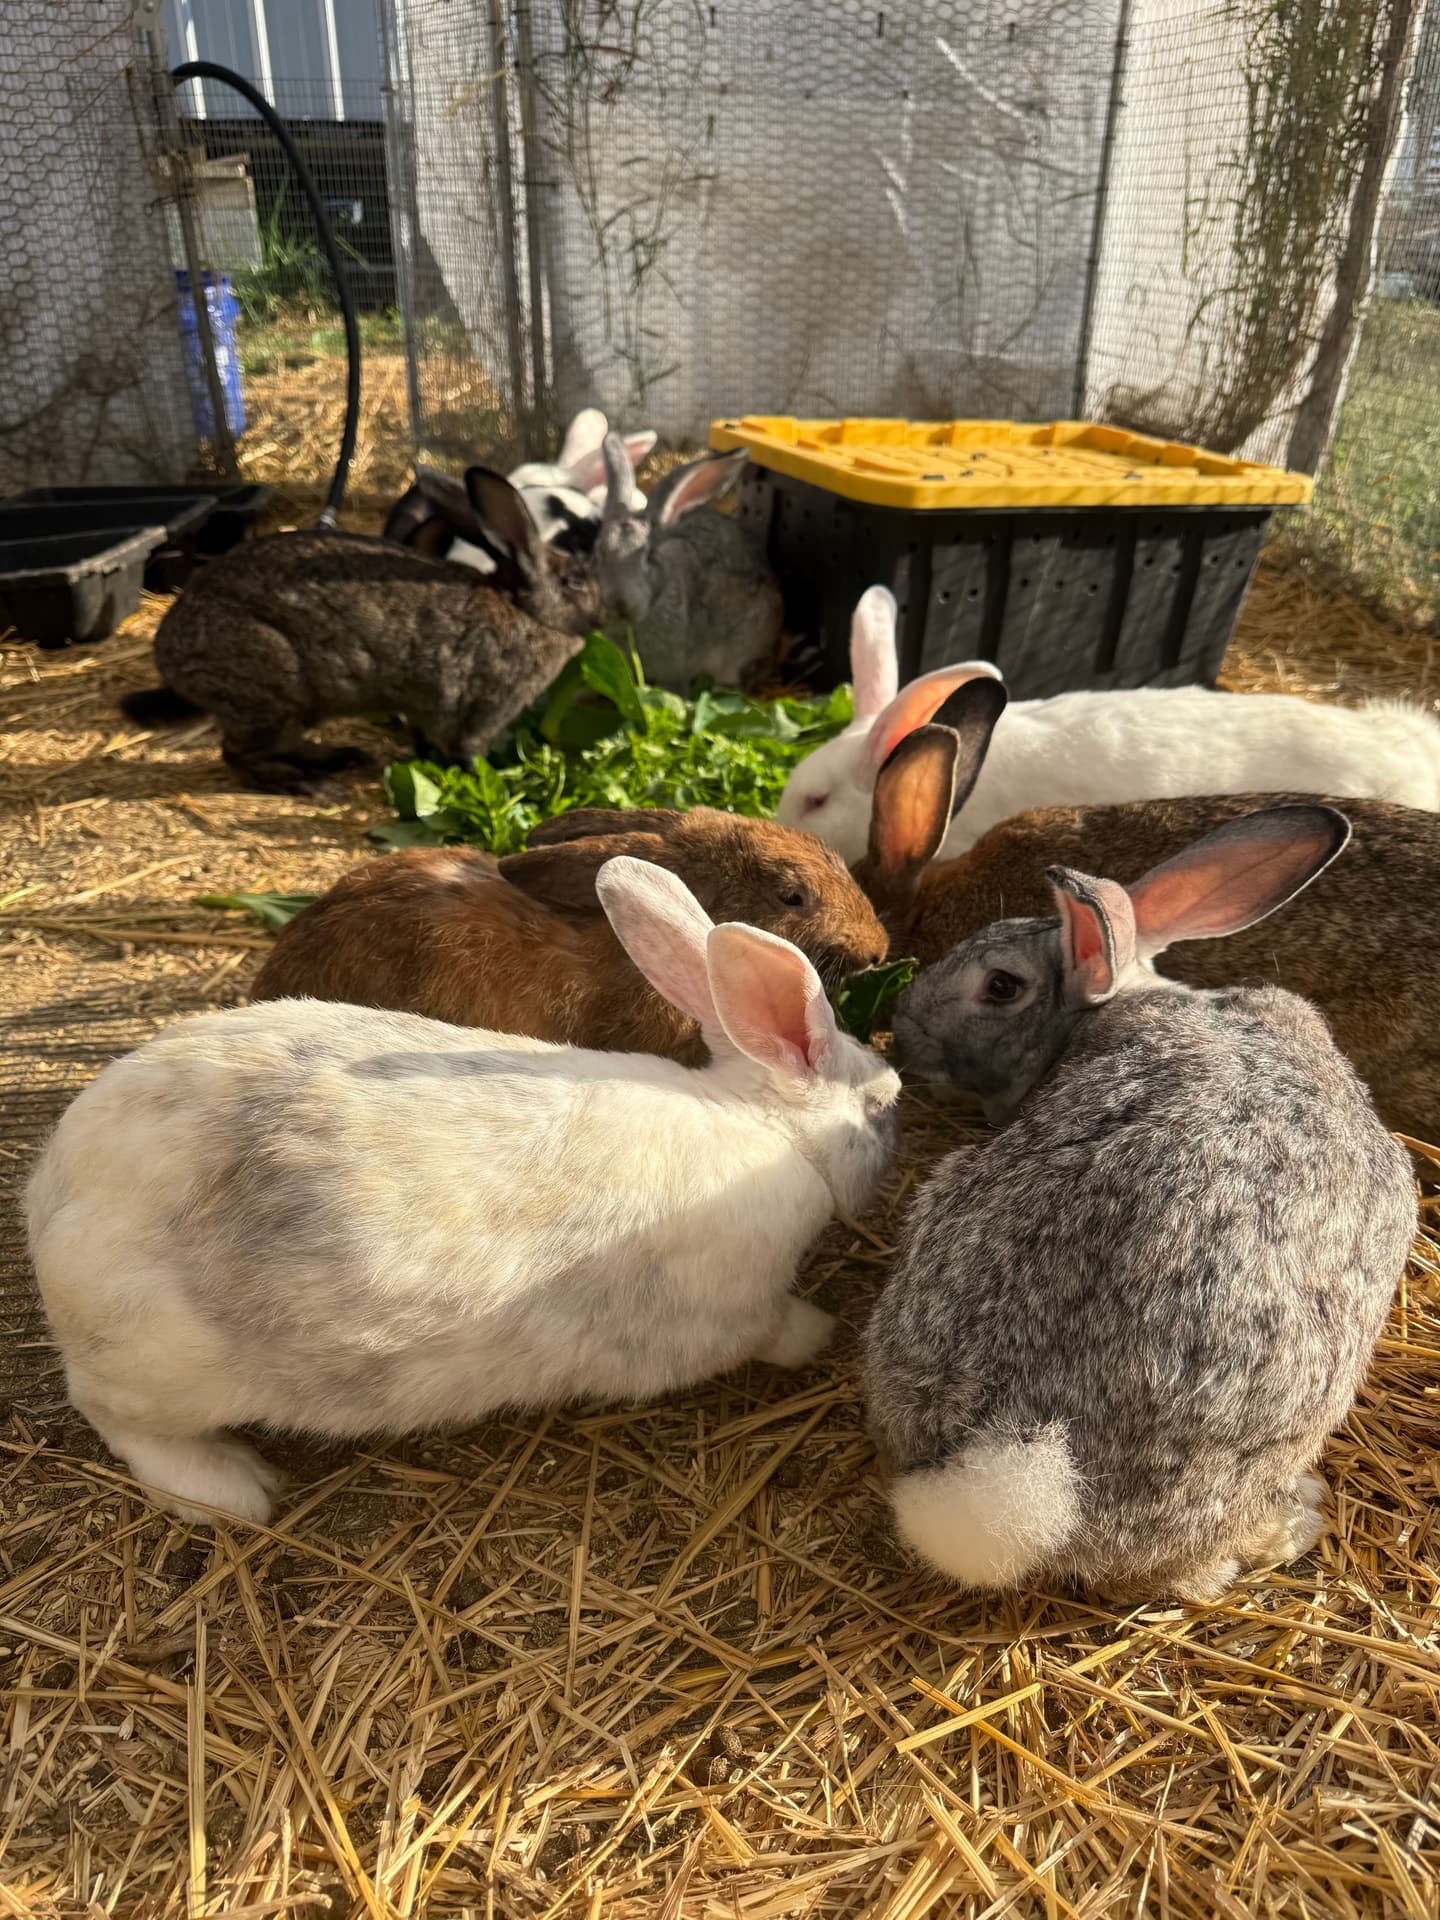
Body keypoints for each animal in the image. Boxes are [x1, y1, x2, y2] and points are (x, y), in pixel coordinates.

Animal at [28, 857, 902, 1524]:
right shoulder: (740, 1308)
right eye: (881, 1107)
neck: (763, 1124)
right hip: (157, 1369)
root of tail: (51, 1195)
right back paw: (233, 1491)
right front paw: (821, 1333)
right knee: (115, 1418)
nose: (897, 1094)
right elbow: (777, 1330)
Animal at [119, 470, 600, 792]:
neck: (526, 611)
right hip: (270, 690)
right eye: (575, 582)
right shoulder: (478, 710)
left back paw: (340, 757)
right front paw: (489, 781)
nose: (605, 611)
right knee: (237, 755)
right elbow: (465, 751)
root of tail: (169, 656)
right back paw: (305, 784)